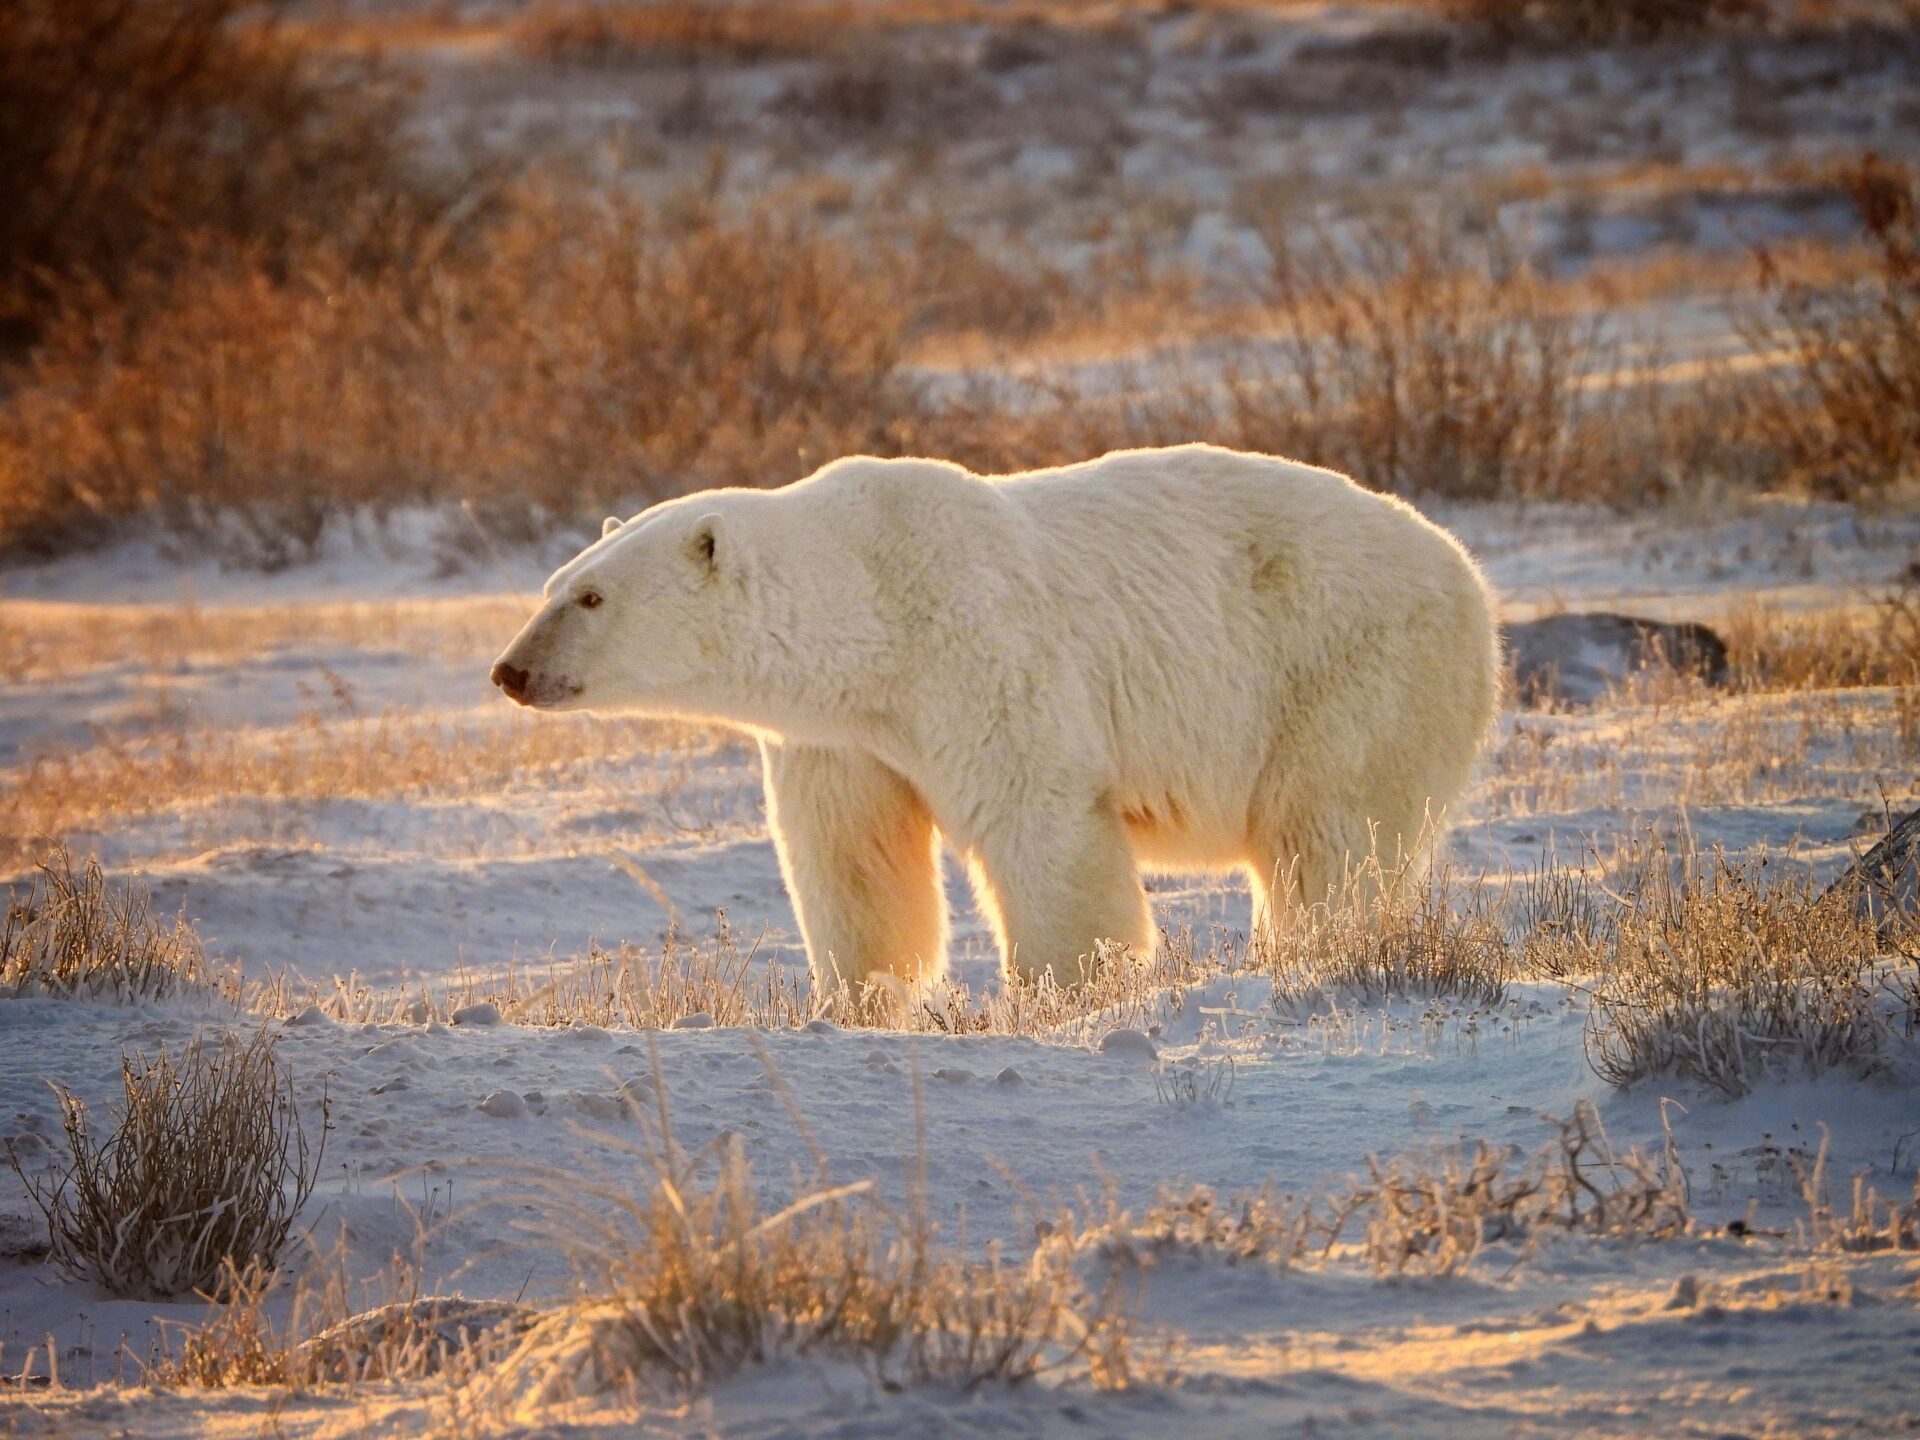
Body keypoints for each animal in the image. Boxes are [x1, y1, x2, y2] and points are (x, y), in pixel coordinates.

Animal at [491, 443, 1500, 989]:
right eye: (552, 586)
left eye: (590, 598)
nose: (511, 670)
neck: (870, 608)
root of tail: (1464, 568)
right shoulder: (839, 736)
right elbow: (854, 861)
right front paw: (856, 998)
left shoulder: (976, 651)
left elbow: (1039, 821)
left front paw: (1067, 986)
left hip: (1354, 666)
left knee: (1328, 834)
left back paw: (1311, 950)